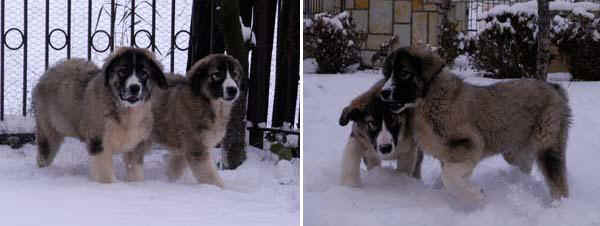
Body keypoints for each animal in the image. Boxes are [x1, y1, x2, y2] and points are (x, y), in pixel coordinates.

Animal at [34, 46, 168, 183]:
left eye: (144, 73)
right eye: (122, 71)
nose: (134, 88)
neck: (124, 110)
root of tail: (53, 69)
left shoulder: (136, 144)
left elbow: (134, 169)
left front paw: (135, 183)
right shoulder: (99, 141)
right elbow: (104, 172)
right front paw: (109, 184)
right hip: (49, 130)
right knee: (44, 152)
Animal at [148, 53, 244, 188]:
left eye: (235, 74)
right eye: (216, 74)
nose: (233, 89)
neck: (208, 104)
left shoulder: (182, 151)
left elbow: (174, 171)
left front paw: (170, 182)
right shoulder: (196, 149)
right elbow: (211, 177)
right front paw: (222, 190)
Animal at [380, 46, 572, 202]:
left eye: (404, 73)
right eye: (387, 74)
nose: (383, 93)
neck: (427, 99)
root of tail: (554, 87)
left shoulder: (470, 143)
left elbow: (449, 176)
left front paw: (475, 196)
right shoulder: (449, 153)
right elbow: (449, 174)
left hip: (547, 143)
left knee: (558, 181)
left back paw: (557, 206)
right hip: (515, 150)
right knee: (525, 166)